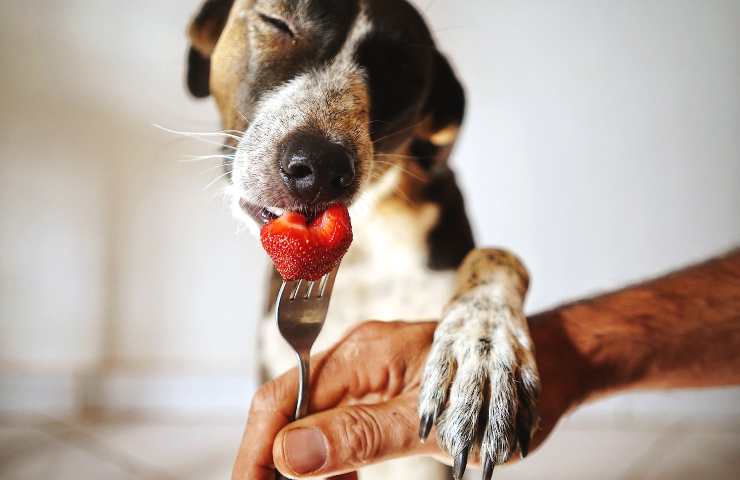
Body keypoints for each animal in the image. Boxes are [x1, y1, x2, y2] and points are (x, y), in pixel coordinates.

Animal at [188, 1, 540, 478]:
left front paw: (483, 353)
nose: (320, 166)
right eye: (277, 21)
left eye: (401, 72)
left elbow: (497, 256)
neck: (367, 242)